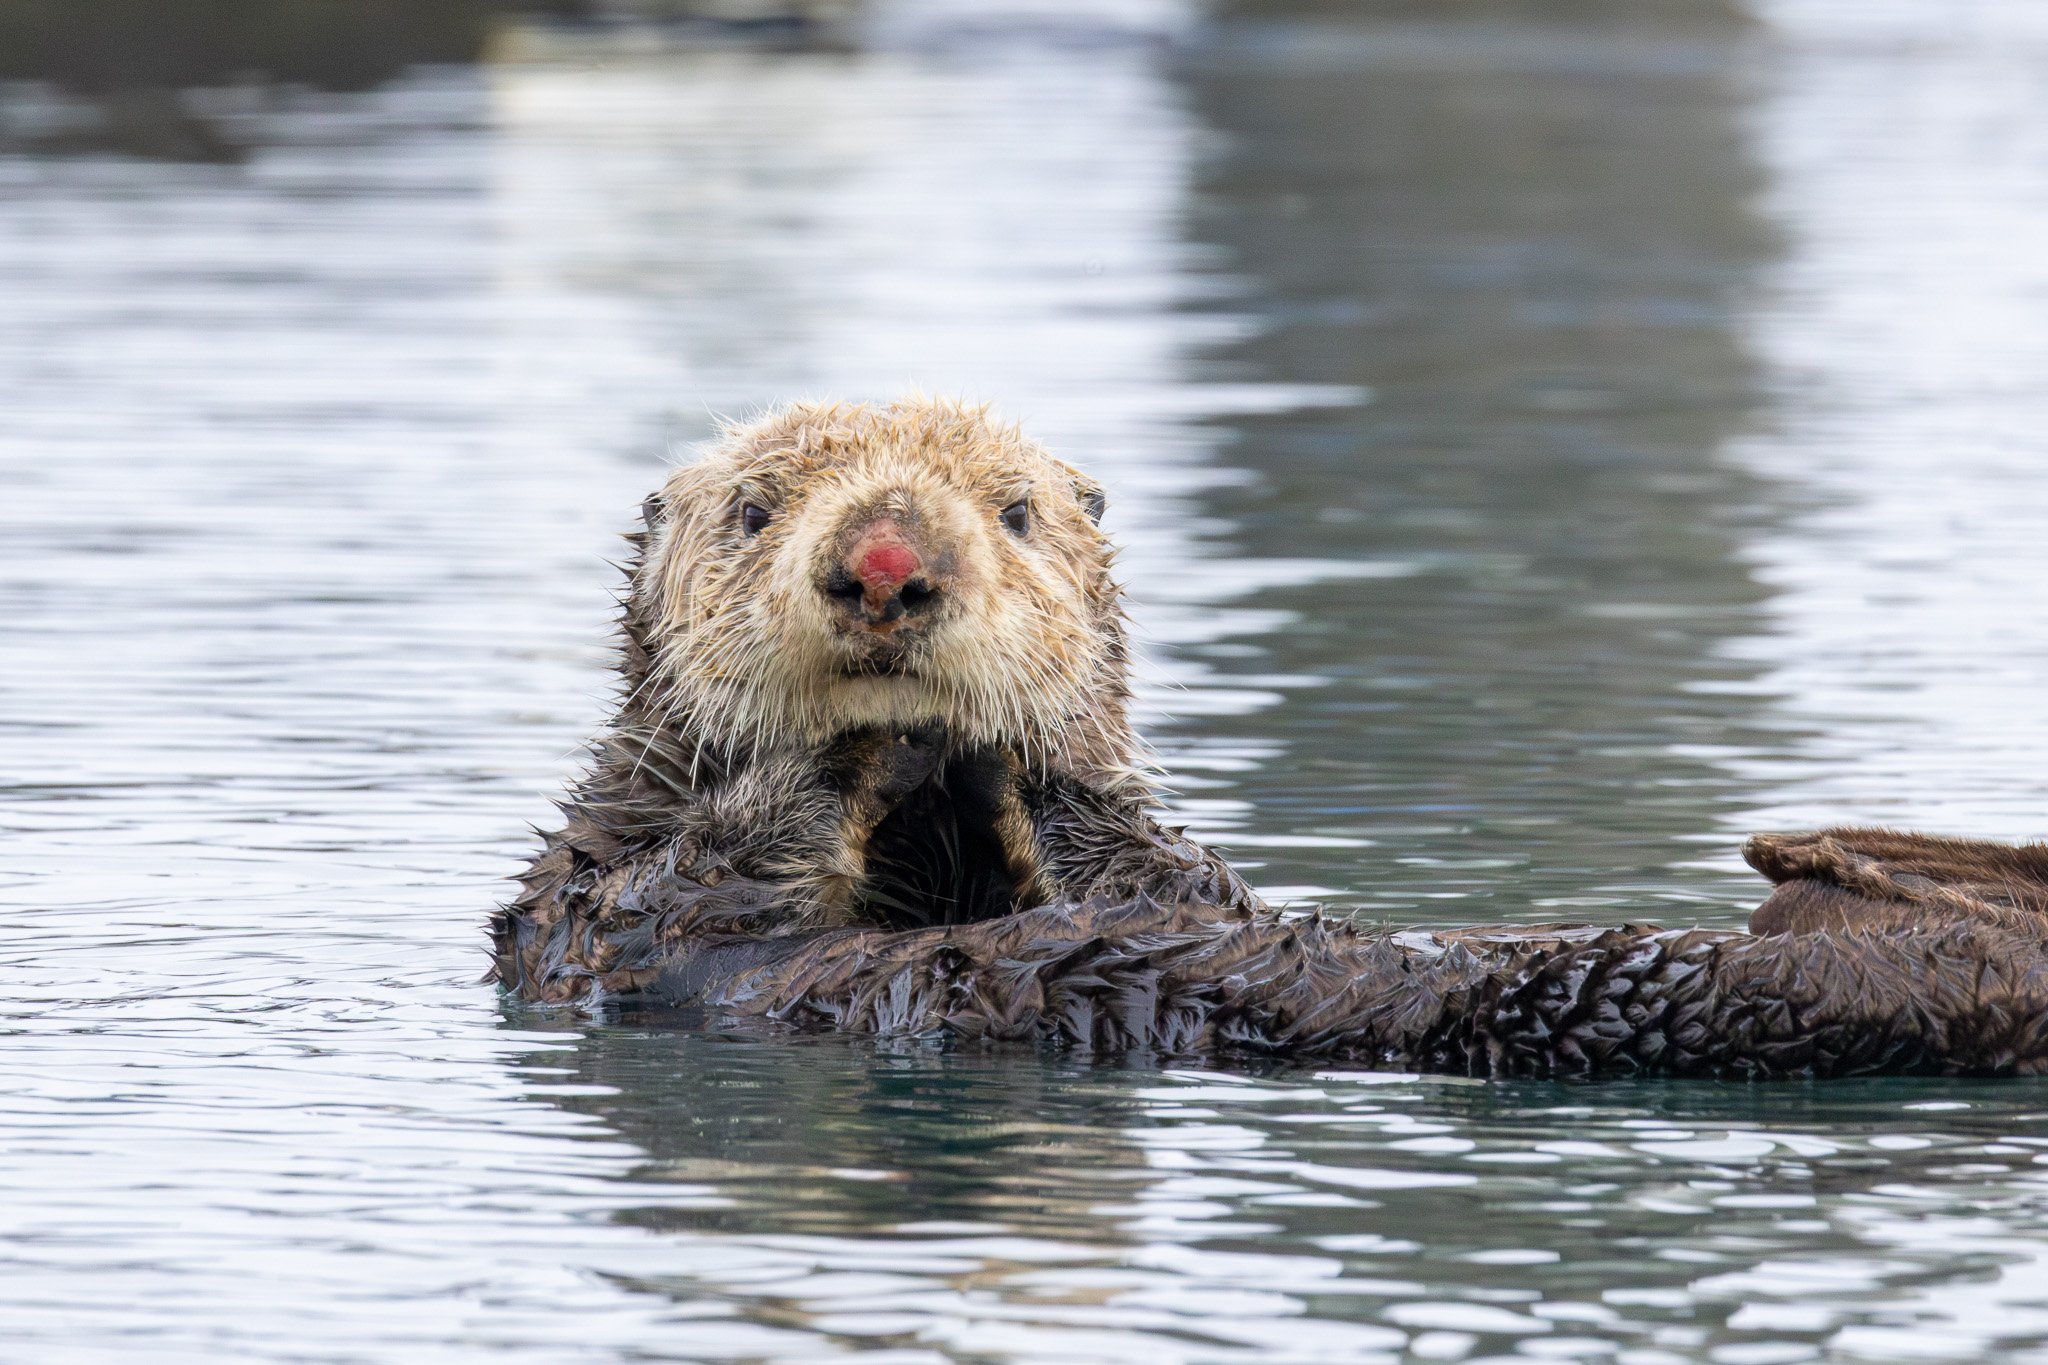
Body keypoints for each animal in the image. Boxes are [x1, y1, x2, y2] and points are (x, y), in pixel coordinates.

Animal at [494, 397, 2048, 1079]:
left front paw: (1013, 755)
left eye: (1014, 511)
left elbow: (1150, 869)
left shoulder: (1167, 873)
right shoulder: (590, 915)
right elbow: (681, 882)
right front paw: (873, 745)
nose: (883, 563)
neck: (928, 856)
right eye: (756, 510)